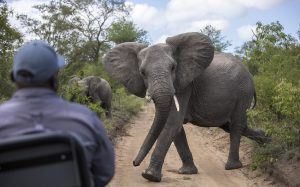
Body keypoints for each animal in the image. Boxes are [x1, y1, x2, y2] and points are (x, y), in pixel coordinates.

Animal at [102, 32, 270, 182]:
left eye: (173, 68)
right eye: (142, 73)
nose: (134, 163)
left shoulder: (184, 84)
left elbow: (172, 123)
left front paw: (149, 176)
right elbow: (175, 127)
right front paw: (187, 172)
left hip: (243, 92)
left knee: (236, 125)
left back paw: (232, 166)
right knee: (231, 126)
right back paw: (267, 141)